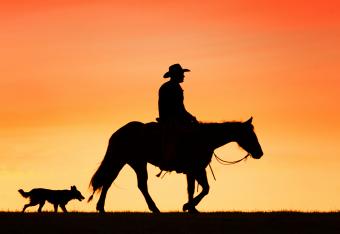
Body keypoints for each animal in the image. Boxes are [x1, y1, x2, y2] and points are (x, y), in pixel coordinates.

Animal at [87, 116, 262, 213]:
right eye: (250, 134)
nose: (260, 153)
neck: (204, 138)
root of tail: (118, 132)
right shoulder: (195, 169)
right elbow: (203, 189)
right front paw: (188, 206)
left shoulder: (196, 170)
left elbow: (198, 189)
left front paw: (192, 208)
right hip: (133, 162)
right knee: (133, 184)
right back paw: (153, 209)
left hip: (127, 162)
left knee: (111, 181)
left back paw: (102, 207)